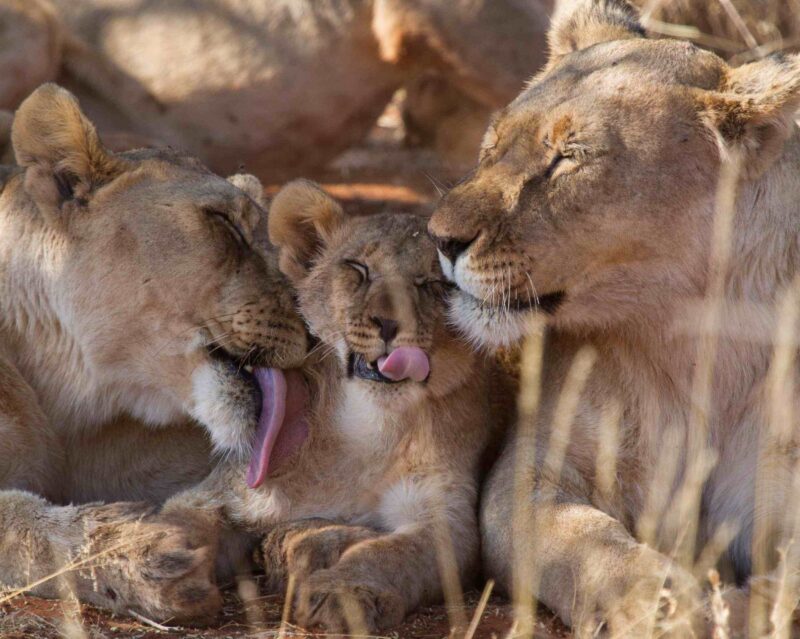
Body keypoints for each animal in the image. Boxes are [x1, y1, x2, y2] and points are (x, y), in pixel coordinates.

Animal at [153, 180, 500, 632]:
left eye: (431, 283)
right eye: (358, 268)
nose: (389, 324)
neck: (369, 426)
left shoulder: (446, 516)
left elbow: (392, 554)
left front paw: (345, 594)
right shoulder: (230, 491)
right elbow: (182, 521)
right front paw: (162, 569)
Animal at [428, 0, 800, 636]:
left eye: (568, 159)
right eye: (492, 145)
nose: (441, 239)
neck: (693, 335)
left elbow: (788, 584)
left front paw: (740, 607)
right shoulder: (535, 469)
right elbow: (589, 545)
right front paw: (663, 607)